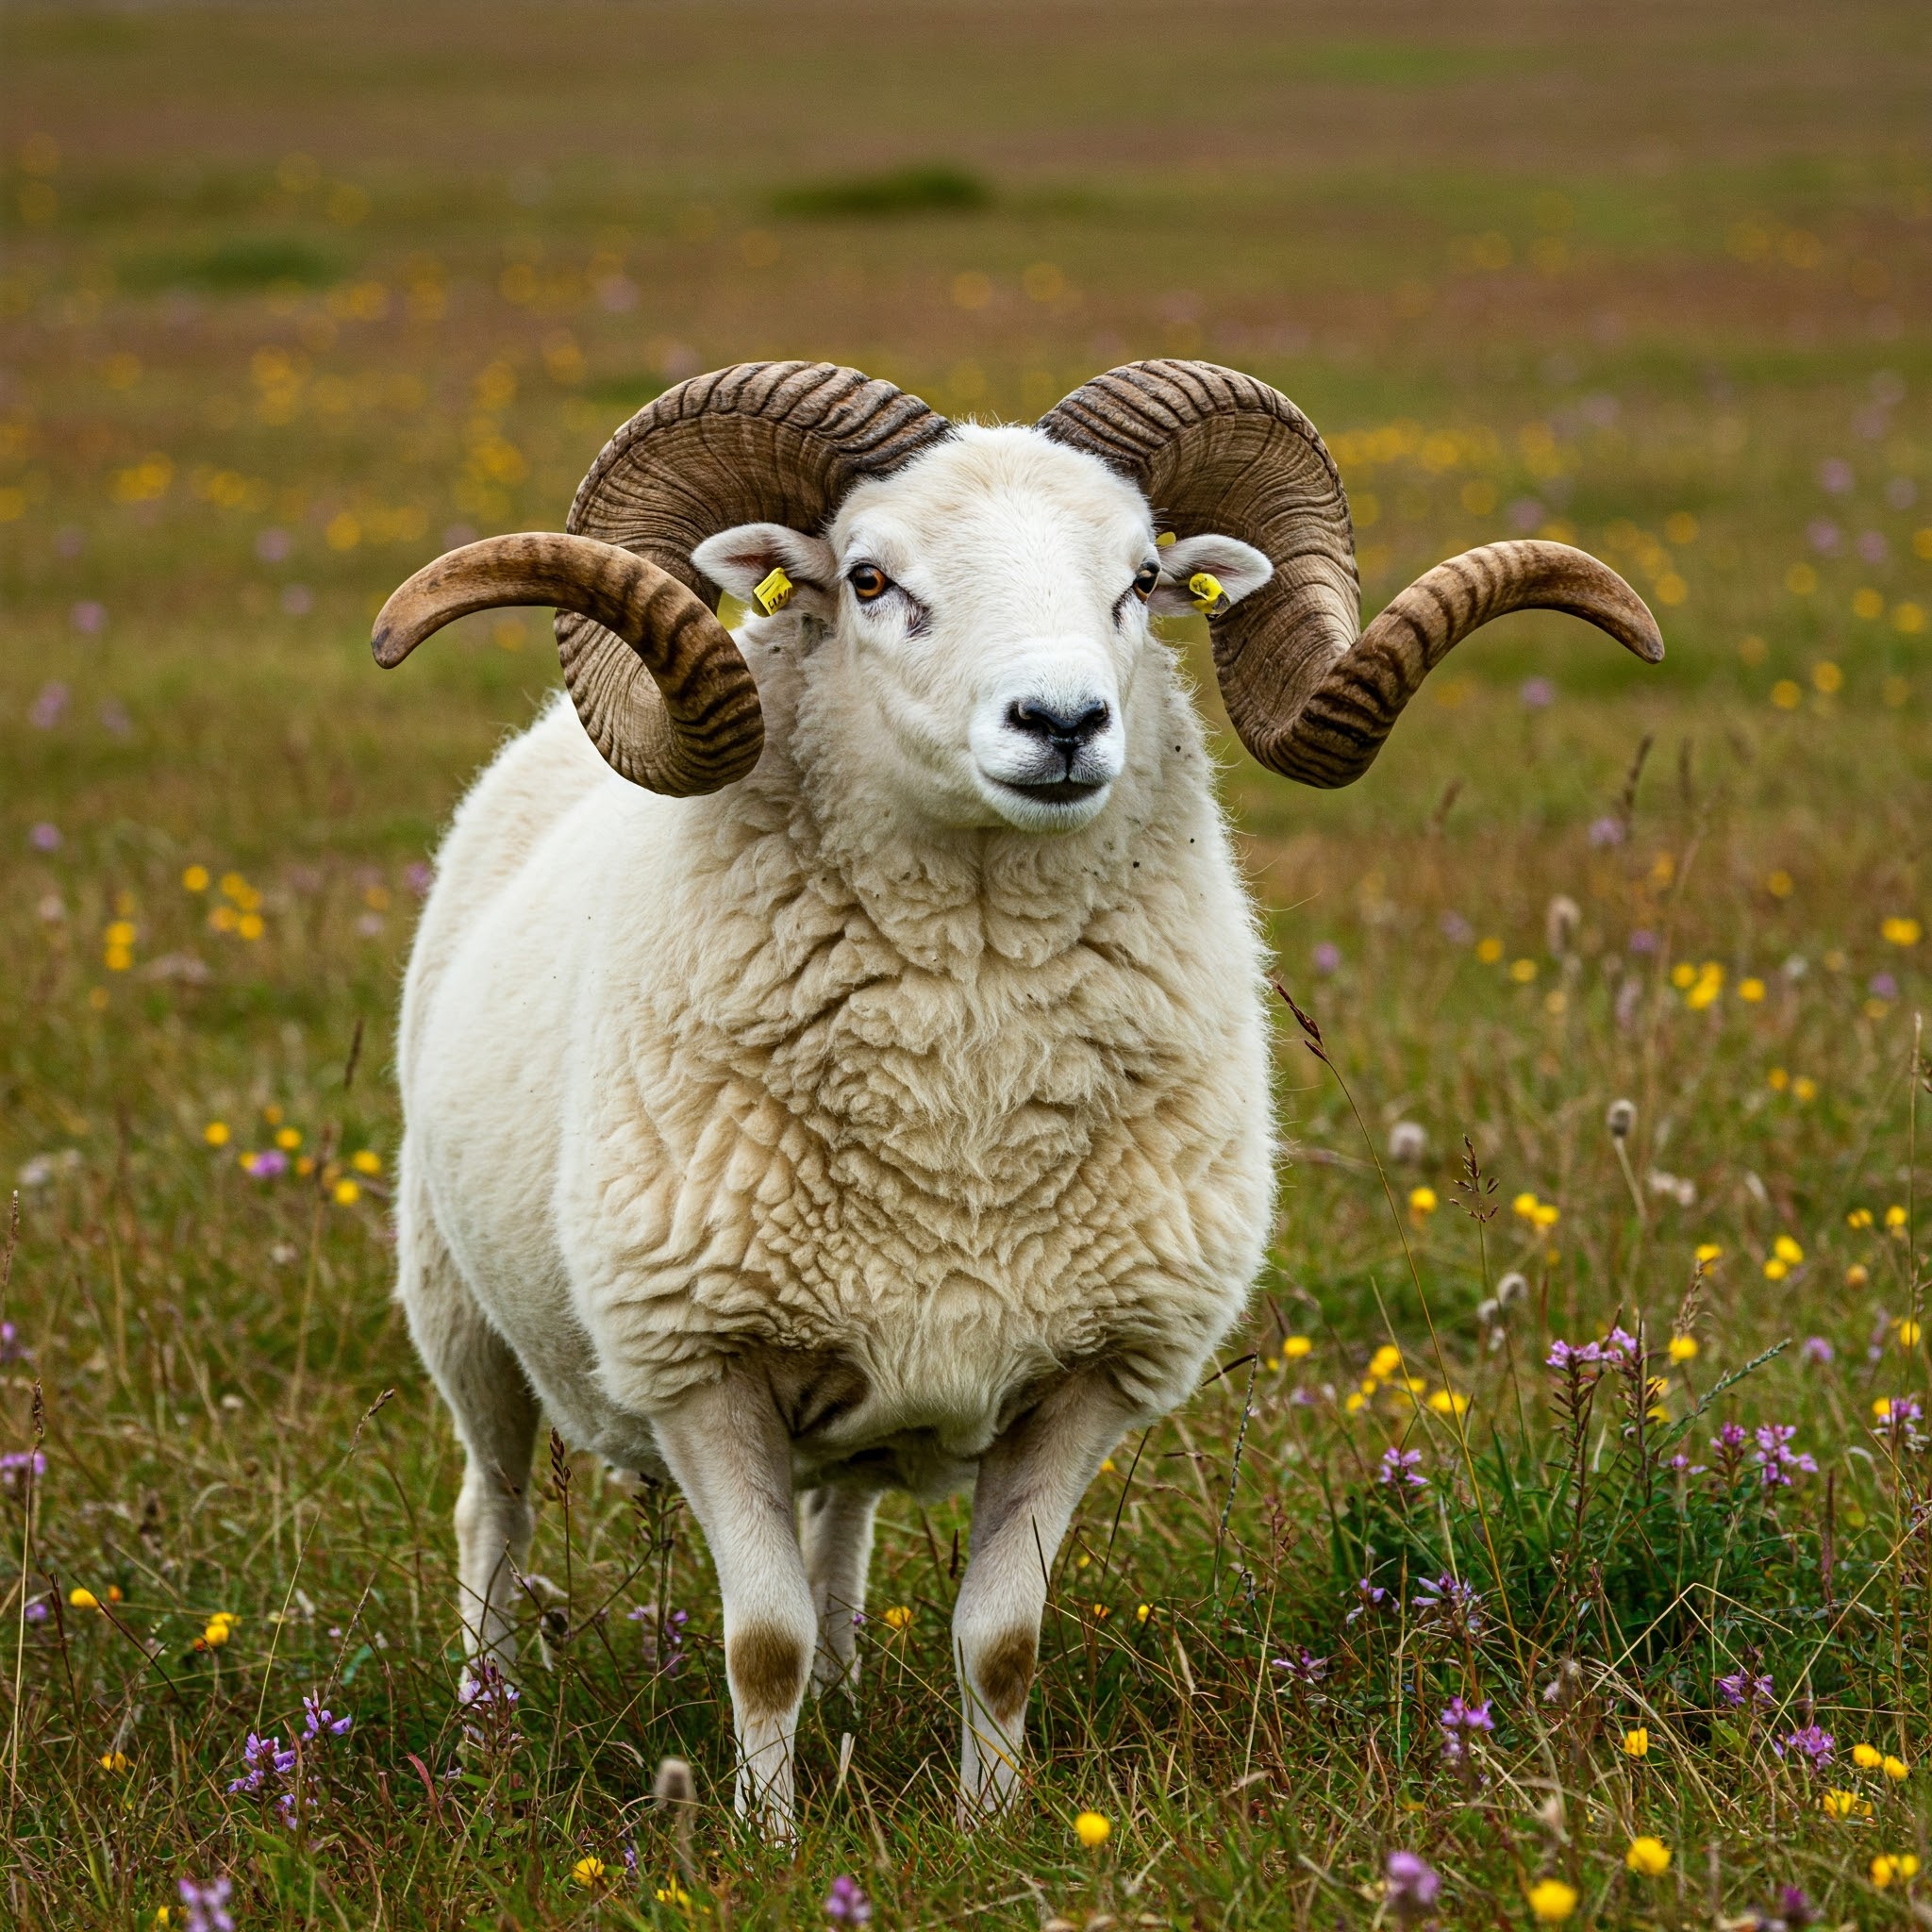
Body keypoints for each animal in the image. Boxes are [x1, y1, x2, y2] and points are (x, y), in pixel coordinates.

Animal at [372, 359, 1660, 1836]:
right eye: (868, 579)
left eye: (1142, 576)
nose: (1062, 724)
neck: (966, 1109)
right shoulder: (702, 1368)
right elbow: (760, 1642)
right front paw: (767, 1841)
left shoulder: (1085, 1378)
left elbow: (999, 1636)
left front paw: (993, 1829)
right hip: (459, 1307)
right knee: (492, 1511)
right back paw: (485, 1727)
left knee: (839, 1519)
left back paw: (849, 1696)